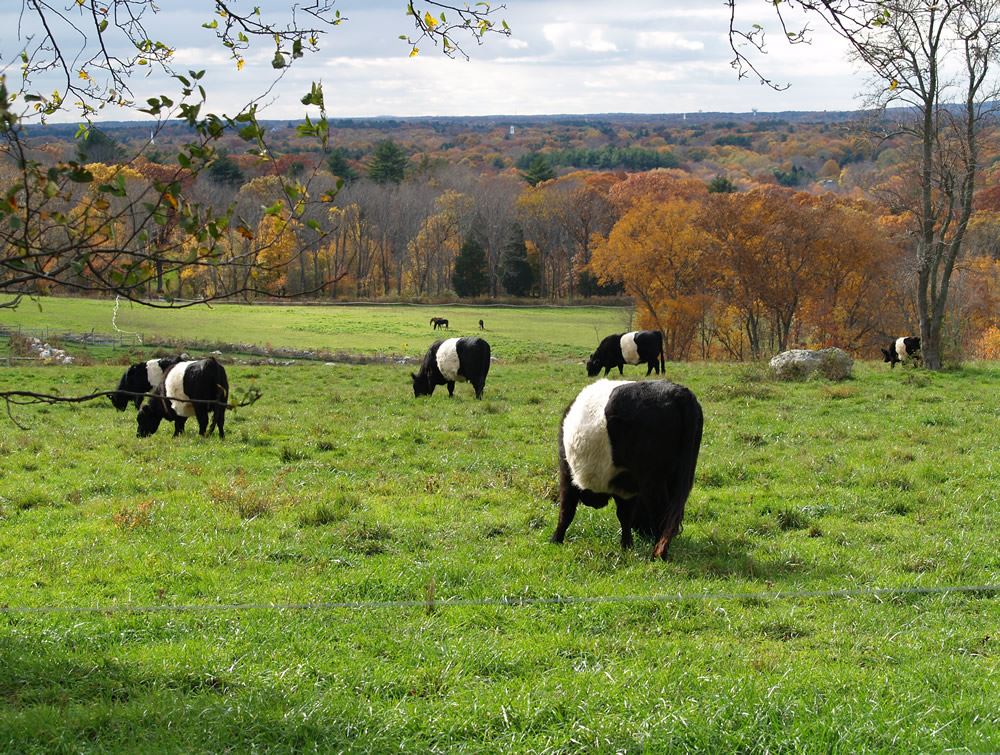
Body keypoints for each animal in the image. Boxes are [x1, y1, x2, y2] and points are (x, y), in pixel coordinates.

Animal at [551, 379, 703, 560]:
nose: (644, 533)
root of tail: (679, 393)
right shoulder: (626, 488)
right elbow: (625, 516)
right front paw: (627, 546)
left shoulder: (566, 473)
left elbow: (566, 512)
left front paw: (555, 540)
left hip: (653, 481)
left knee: (661, 514)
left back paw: (657, 554)